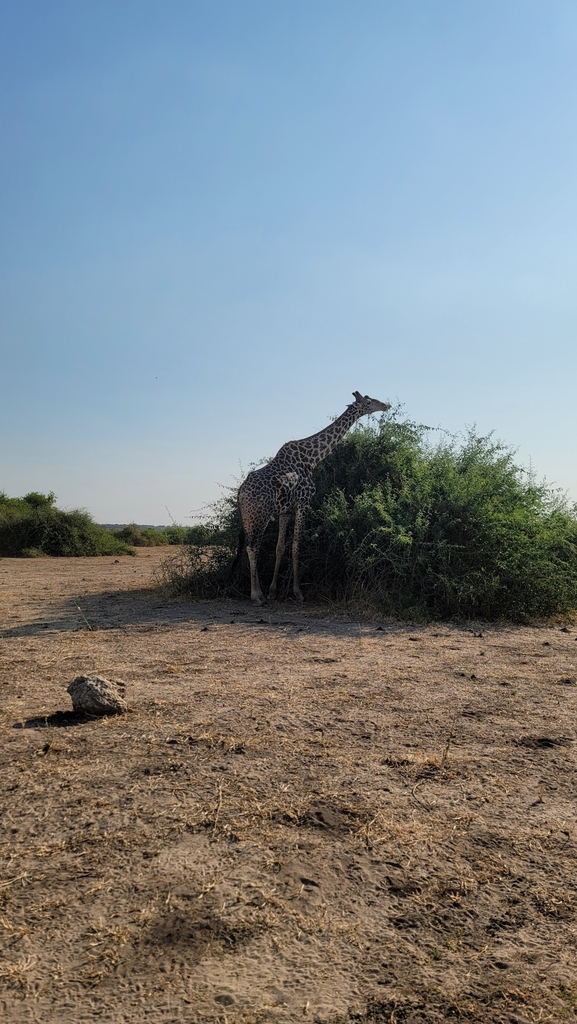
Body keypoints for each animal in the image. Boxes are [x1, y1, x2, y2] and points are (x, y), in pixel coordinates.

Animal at [234, 391, 391, 604]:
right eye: (368, 402)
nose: (385, 405)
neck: (312, 459)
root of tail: (241, 492)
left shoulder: (285, 511)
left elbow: (280, 547)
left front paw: (273, 591)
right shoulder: (304, 504)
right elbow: (296, 547)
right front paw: (298, 593)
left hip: (248, 517)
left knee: (249, 547)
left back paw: (260, 593)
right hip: (260, 516)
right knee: (253, 547)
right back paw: (256, 595)